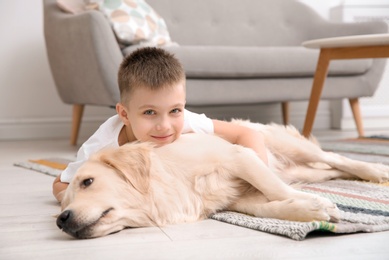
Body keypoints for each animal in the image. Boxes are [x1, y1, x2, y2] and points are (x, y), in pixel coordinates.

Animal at [56, 121, 388, 239]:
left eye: (87, 182)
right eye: (63, 205)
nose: (62, 220)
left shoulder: (240, 157)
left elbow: (274, 189)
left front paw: (319, 204)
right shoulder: (239, 198)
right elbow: (269, 205)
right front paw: (308, 208)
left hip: (289, 146)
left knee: (335, 157)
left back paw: (376, 171)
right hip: (302, 170)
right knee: (330, 170)